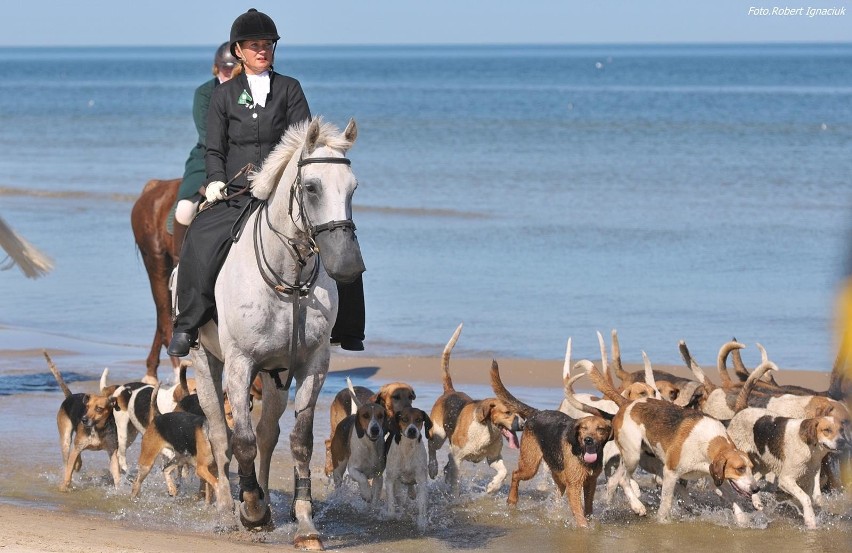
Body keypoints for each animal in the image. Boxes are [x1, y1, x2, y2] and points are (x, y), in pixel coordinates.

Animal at [46, 352, 120, 490]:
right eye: (87, 407)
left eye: (99, 409)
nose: (83, 420)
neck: (98, 429)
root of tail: (70, 396)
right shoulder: (77, 446)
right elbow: (68, 473)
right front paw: (64, 487)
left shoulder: (112, 452)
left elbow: (117, 475)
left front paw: (120, 490)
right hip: (66, 438)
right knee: (68, 459)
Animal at [190, 116, 362, 548]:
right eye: (311, 187)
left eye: (353, 187)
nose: (348, 265)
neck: (290, 277)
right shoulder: (239, 363)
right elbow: (241, 441)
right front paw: (250, 510)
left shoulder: (312, 364)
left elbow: (298, 441)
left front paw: (304, 524)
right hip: (203, 360)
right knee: (220, 434)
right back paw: (227, 511)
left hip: (275, 375)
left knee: (268, 433)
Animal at [486, 358, 612, 528]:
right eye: (583, 428)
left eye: (600, 429)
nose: (588, 440)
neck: (581, 453)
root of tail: (537, 413)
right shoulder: (575, 486)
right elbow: (580, 516)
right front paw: (585, 528)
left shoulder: (590, 483)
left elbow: (588, 508)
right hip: (530, 465)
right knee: (515, 474)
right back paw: (512, 500)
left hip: (558, 475)